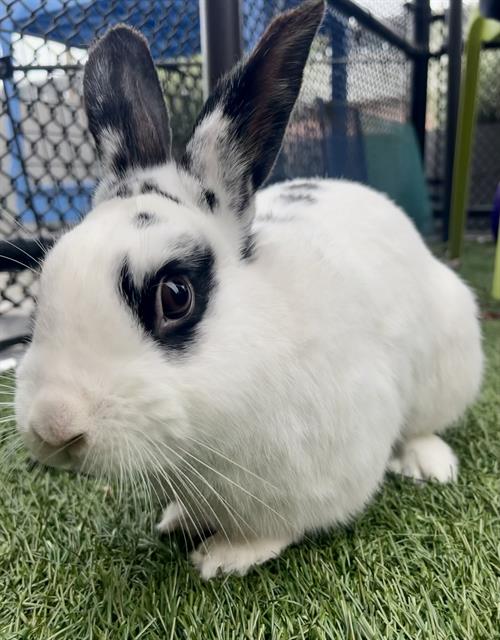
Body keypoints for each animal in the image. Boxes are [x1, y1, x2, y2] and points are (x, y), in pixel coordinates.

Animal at [15, 0, 484, 580]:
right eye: (45, 282)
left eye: (175, 296)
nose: (54, 425)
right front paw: (178, 520)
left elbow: (277, 527)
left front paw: (224, 557)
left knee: (425, 424)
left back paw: (429, 463)